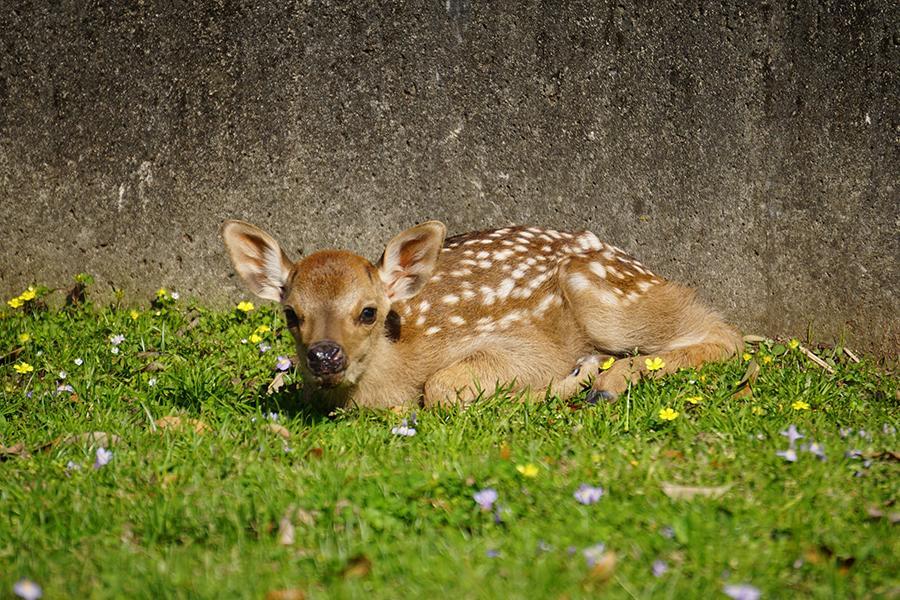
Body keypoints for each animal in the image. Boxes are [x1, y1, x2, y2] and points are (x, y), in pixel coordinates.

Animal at [221, 223, 740, 410]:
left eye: (368, 311)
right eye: (291, 314)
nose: (325, 356)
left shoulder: (521, 340)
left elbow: (441, 387)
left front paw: (577, 376)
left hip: (604, 298)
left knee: (725, 334)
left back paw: (607, 381)